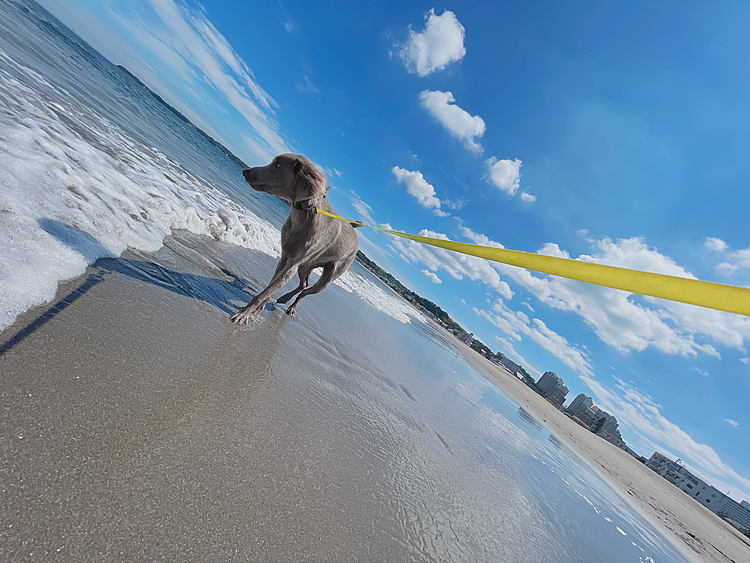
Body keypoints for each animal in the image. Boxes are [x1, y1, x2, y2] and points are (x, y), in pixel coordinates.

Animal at [232, 154, 362, 324]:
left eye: (278, 165)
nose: (245, 171)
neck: (304, 216)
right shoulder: (285, 256)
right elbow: (270, 287)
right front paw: (257, 309)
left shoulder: (292, 265)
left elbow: (265, 292)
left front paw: (245, 314)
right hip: (306, 265)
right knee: (304, 284)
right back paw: (285, 298)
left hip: (328, 277)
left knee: (305, 292)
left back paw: (291, 307)